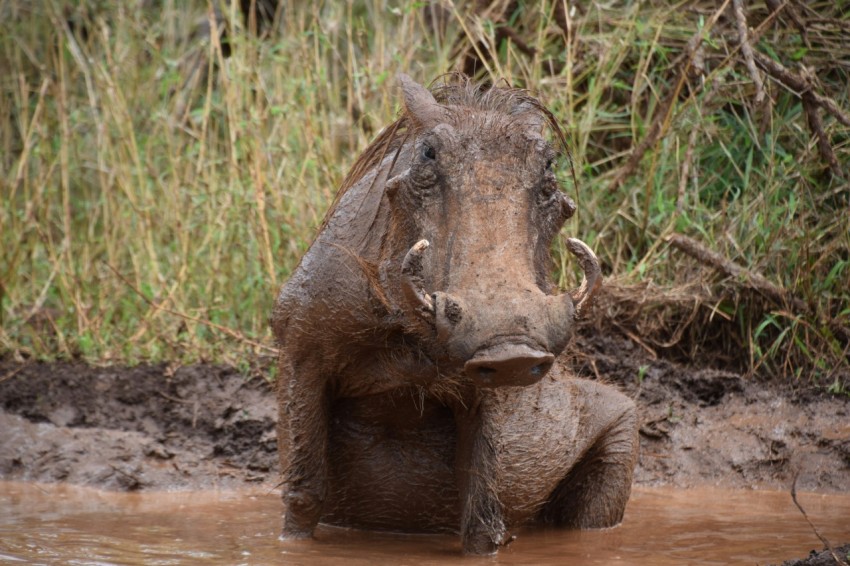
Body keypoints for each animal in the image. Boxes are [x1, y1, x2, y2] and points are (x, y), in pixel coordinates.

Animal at [272, 74, 638, 554]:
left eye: (548, 165)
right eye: (428, 153)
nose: (511, 350)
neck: (404, 342)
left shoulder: (489, 391)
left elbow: (481, 518)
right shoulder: (302, 353)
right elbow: (303, 495)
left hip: (622, 432)